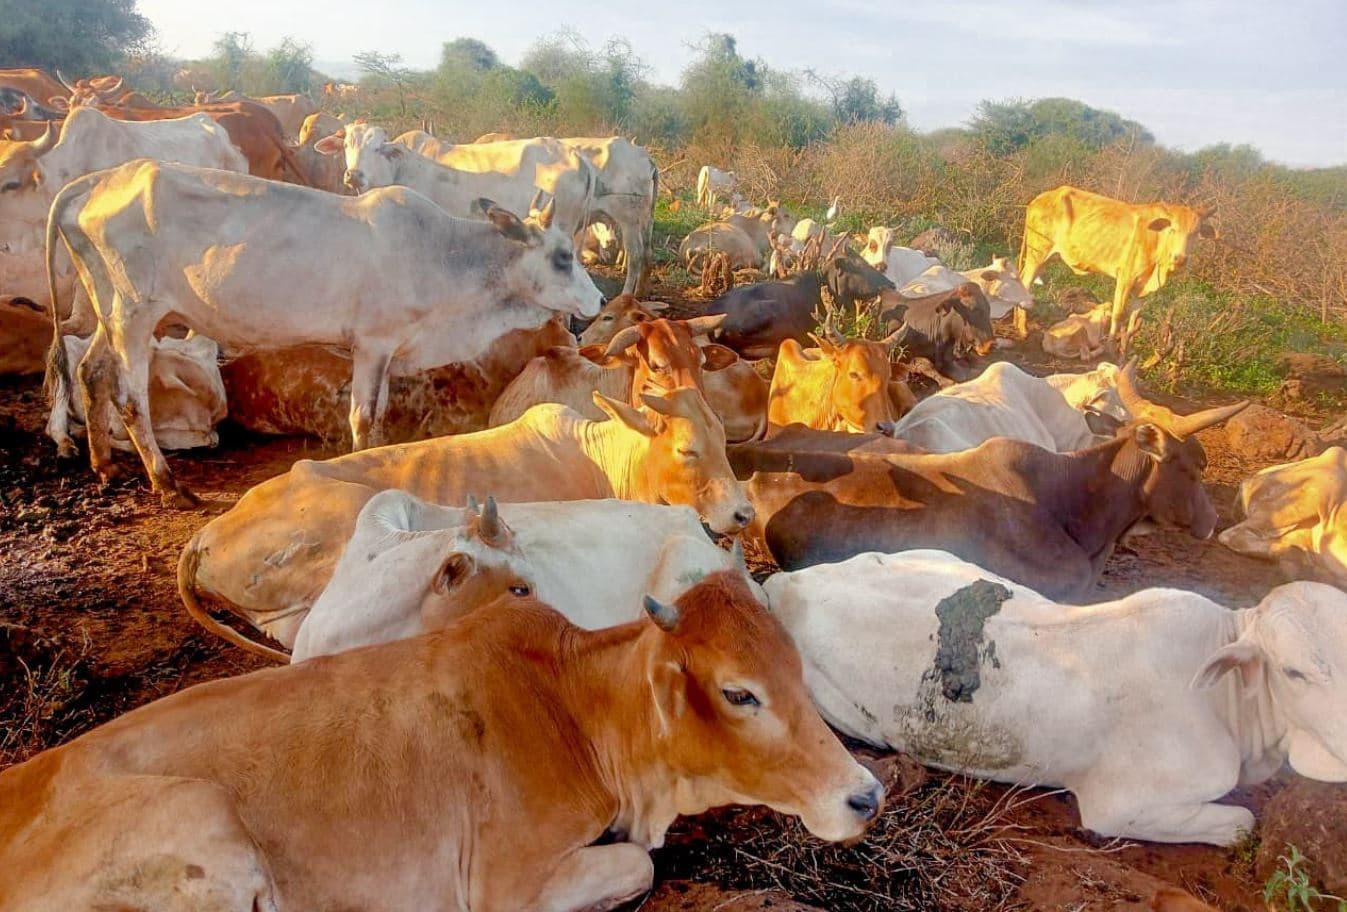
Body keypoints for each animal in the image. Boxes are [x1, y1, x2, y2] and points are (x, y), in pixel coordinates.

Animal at [0, 572, 882, 911]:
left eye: (796, 670)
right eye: (738, 692)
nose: (865, 795)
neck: (574, 706)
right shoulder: (502, 885)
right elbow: (636, 863)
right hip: (201, 825)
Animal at [44, 160, 602, 503]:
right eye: (563, 256)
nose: (596, 302)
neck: (445, 255)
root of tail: (100, 180)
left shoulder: (385, 352)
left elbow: (377, 416)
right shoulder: (373, 344)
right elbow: (363, 418)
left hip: (110, 311)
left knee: (91, 373)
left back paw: (103, 464)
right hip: (134, 316)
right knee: (129, 396)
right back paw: (167, 483)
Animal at [1020, 185, 1217, 337]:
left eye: (1195, 232)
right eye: (1173, 229)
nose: (1180, 258)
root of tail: (1039, 199)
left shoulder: (1142, 288)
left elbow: (1134, 317)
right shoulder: (1125, 277)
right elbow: (1118, 313)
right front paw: (1111, 343)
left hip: (1044, 257)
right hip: (1038, 253)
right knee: (1025, 282)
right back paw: (1022, 330)